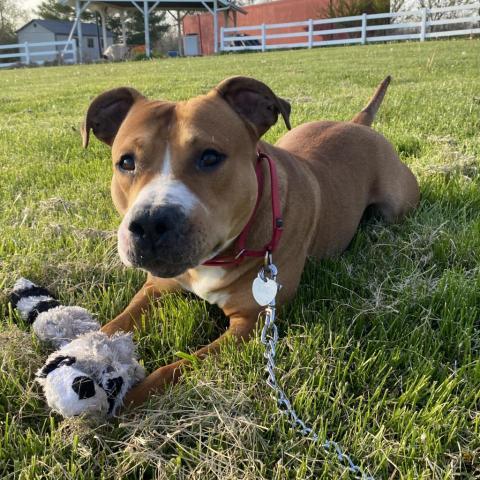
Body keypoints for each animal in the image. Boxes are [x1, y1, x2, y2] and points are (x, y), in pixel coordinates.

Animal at [82, 77, 420, 406]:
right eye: (126, 162)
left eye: (210, 157)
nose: (151, 222)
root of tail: (357, 124)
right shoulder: (156, 287)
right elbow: (113, 326)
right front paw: (83, 354)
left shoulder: (250, 321)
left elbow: (177, 367)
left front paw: (128, 401)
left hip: (395, 205)